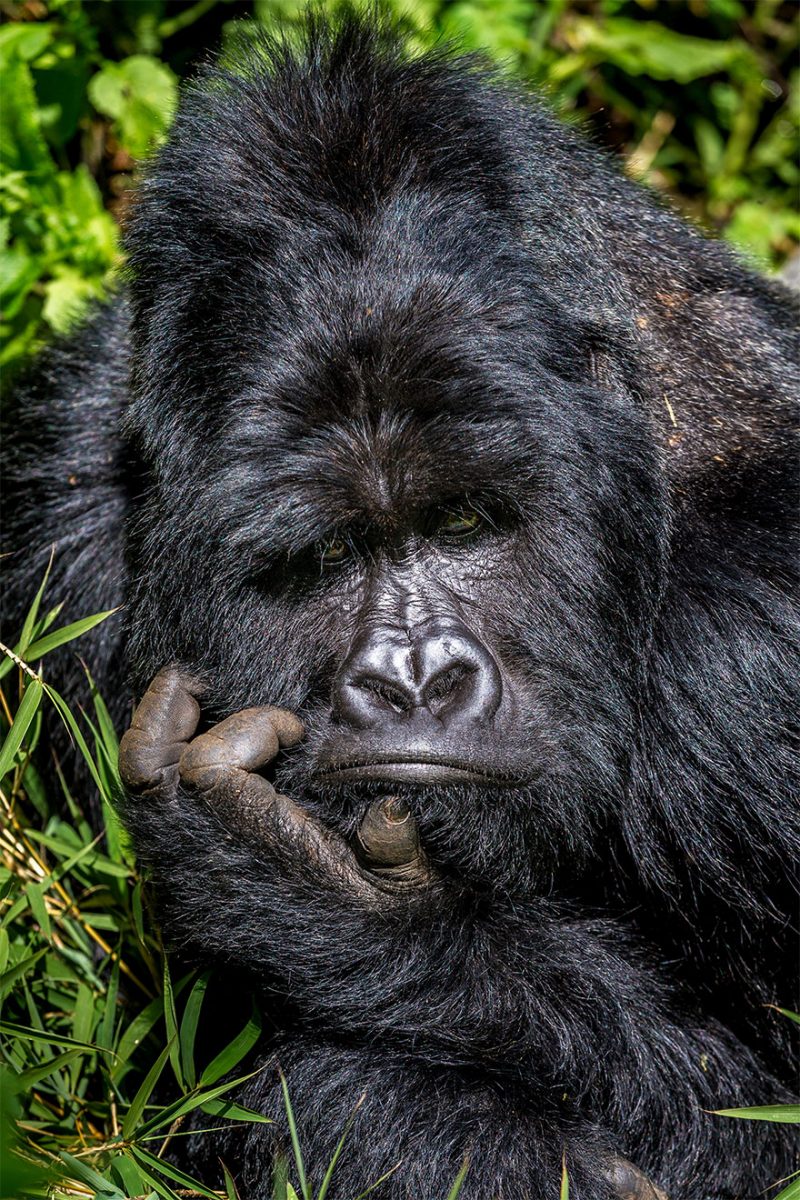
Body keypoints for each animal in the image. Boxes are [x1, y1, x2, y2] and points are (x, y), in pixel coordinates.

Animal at [3, 11, 796, 1200]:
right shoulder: (53, 545)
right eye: (329, 551)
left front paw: (363, 917)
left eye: (463, 522)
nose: (413, 678)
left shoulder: (755, 661)